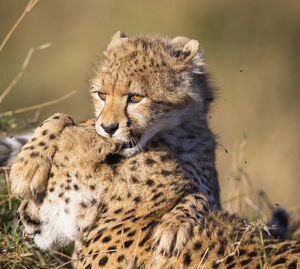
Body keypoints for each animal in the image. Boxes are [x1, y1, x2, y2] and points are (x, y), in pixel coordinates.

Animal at [9, 32, 220, 254]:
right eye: (102, 94)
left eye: (136, 97)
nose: (108, 128)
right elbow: (61, 117)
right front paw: (26, 168)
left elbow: (199, 196)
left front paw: (174, 226)